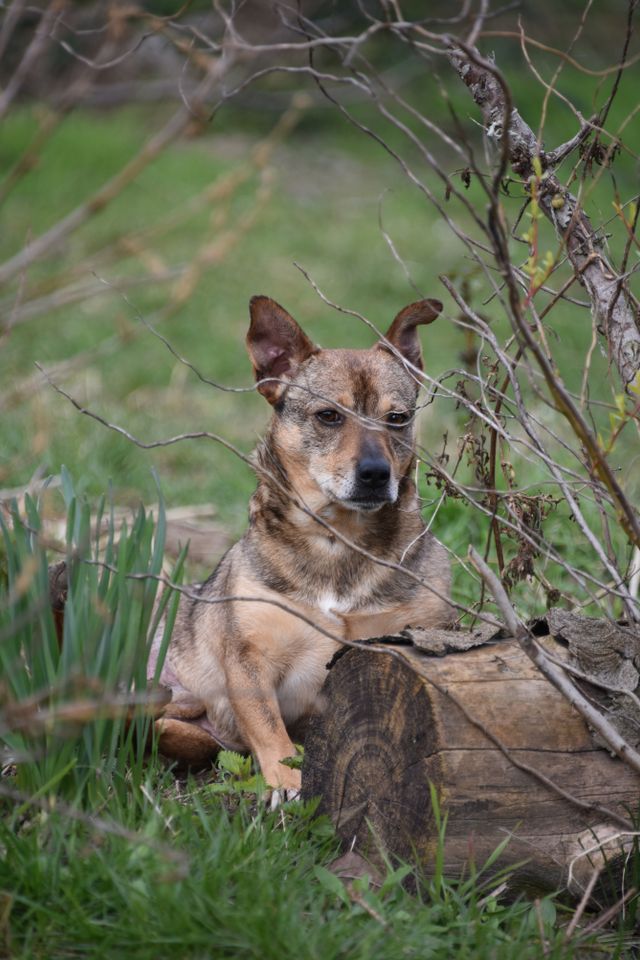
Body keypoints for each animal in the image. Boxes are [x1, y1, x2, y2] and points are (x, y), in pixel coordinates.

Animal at [149, 296, 450, 800]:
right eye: (328, 416)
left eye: (398, 419)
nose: (376, 474)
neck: (338, 542)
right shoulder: (249, 660)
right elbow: (270, 728)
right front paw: (287, 782)